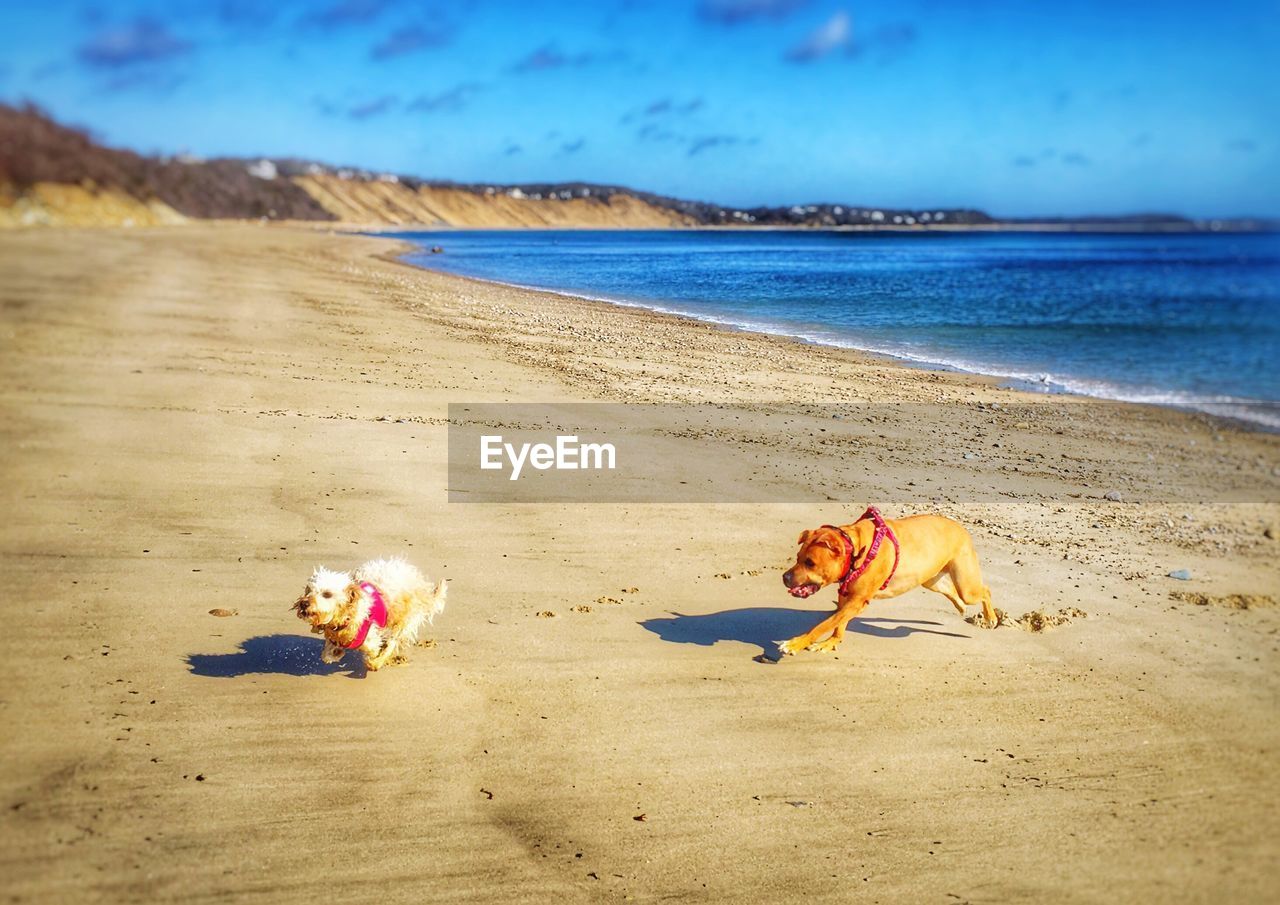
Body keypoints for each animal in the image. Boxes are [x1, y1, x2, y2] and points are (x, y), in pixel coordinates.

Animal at [293, 555, 448, 675]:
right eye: (309, 591)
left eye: (327, 594)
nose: (303, 603)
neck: (348, 618)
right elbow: (326, 655)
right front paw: (337, 652)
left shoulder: (370, 637)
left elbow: (373, 648)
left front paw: (374, 658)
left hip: (406, 619)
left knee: (393, 641)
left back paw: (377, 662)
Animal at [773, 506, 993, 655]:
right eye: (797, 557)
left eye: (810, 563)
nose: (785, 577)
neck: (857, 549)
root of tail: (961, 528)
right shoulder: (846, 597)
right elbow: (838, 624)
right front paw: (832, 642)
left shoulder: (856, 602)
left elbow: (823, 625)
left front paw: (795, 643)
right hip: (931, 580)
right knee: (952, 592)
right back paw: (961, 607)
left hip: (967, 586)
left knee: (985, 591)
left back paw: (991, 618)